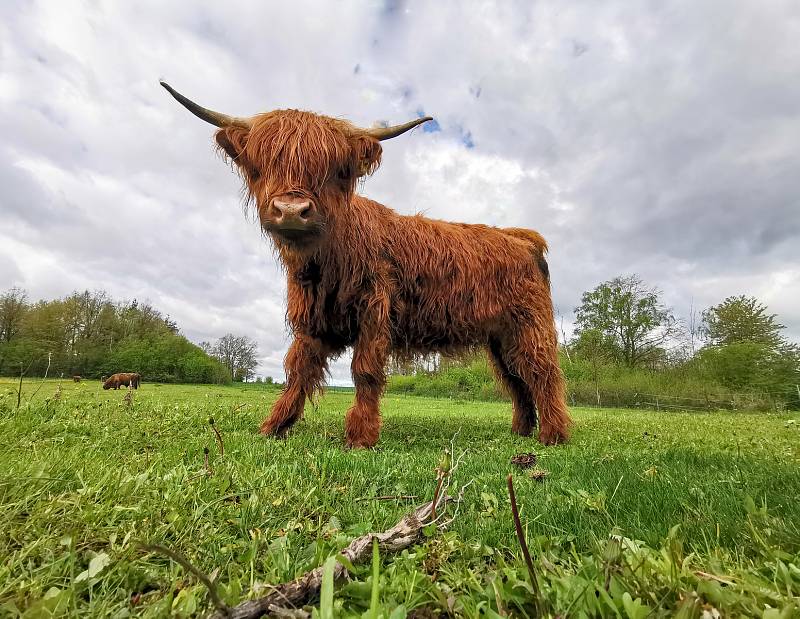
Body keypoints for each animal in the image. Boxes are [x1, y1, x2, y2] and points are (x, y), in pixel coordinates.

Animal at [162, 83, 572, 450]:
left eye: (333, 171)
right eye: (263, 165)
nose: (291, 210)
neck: (326, 262)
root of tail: (522, 237)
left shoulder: (375, 309)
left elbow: (365, 371)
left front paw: (360, 437)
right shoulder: (314, 319)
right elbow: (298, 370)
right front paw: (275, 426)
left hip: (528, 325)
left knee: (542, 373)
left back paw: (553, 436)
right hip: (500, 338)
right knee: (516, 379)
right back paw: (522, 431)